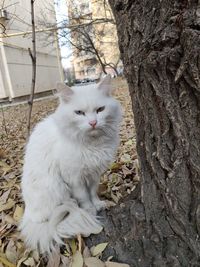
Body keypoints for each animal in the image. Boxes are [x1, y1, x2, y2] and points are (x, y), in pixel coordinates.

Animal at [19, 75, 122, 253]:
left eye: (100, 110)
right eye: (79, 113)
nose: (93, 123)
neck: (92, 145)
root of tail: (28, 214)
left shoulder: (94, 175)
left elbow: (93, 193)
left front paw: (98, 204)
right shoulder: (74, 178)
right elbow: (84, 197)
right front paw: (90, 209)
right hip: (57, 187)